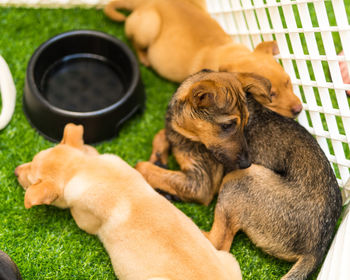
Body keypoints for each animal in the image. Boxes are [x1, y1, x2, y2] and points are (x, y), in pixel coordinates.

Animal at [15, 124, 242, 280]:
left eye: (31, 180)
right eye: (33, 159)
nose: (15, 171)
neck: (82, 168)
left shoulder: (84, 218)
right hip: (230, 260)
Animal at [103, 0, 300, 117]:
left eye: (289, 82)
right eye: (271, 95)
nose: (299, 109)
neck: (231, 55)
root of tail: (147, 1)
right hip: (148, 26)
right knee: (135, 41)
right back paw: (144, 58)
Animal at [136, 70, 342, 280]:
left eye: (244, 123)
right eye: (228, 125)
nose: (245, 163)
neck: (184, 131)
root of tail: (316, 250)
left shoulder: (201, 184)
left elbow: (141, 166)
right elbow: (160, 136)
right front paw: (159, 157)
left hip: (238, 180)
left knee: (217, 244)